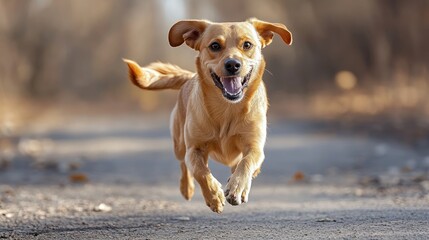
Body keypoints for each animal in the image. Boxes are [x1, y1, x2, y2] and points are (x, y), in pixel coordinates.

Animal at [123, 18, 290, 213]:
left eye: (247, 44)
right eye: (215, 46)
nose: (233, 64)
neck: (227, 109)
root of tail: (189, 77)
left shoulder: (254, 146)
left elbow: (246, 162)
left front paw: (237, 188)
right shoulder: (194, 149)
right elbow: (200, 171)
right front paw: (214, 197)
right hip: (179, 143)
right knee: (183, 164)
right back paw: (187, 188)